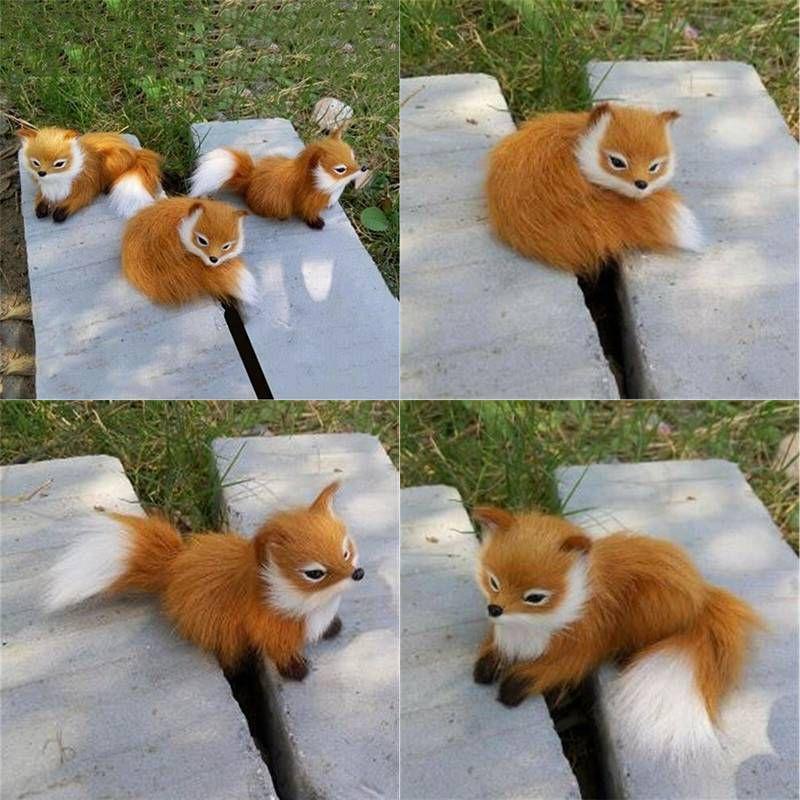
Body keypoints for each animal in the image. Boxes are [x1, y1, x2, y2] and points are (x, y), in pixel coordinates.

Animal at [17, 126, 164, 222]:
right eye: (35, 163)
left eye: (59, 164)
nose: (41, 173)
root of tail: (135, 153)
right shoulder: (44, 188)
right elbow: (41, 198)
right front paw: (41, 209)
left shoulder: (85, 186)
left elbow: (76, 201)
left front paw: (60, 213)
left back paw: (107, 188)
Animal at [45, 482, 364, 680]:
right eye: (315, 574)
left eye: (345, 552)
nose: (357, 574)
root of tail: (174, 564)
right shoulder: (270, 627)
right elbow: (281, 651)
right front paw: (297, 671)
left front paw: (333, 628)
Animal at [189, 125, 368, 230]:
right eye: (340, 169)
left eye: (353, 156)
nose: (363, 168)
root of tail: (250, 180)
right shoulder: (307, 201)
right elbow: (308, 213)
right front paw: (317, 223)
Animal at [471, 506, 761, 763]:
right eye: (493, 582)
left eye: (535, 598)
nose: (494, 609)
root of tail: (702, 598)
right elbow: (495, 650)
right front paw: (486, 666)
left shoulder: (582, 643)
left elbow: (551, 669)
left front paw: (512, 687)